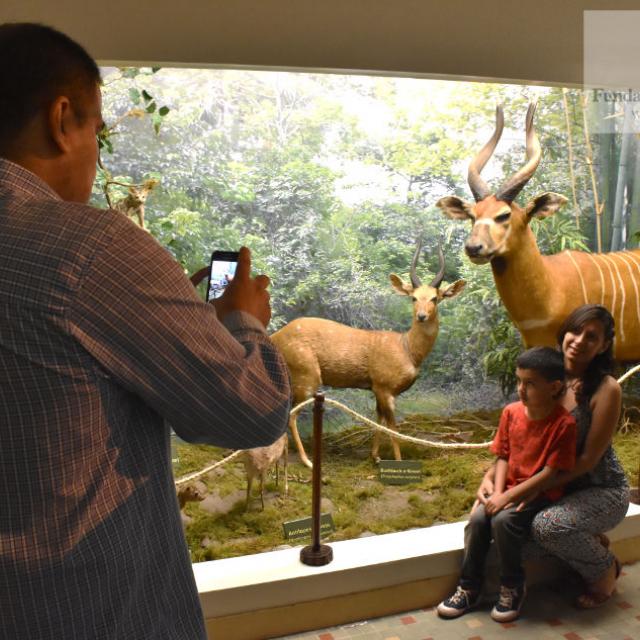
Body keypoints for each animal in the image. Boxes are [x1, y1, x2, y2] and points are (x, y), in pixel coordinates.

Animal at [270, 242, 464, 468]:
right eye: (413, 297)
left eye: (435, 298)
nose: (422, 316)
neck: (407, 349)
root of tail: (275, 337)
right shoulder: (384, 386)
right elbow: (393, 428)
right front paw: (398, 462)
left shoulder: (377, 388)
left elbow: (379, 420)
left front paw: (376, 456)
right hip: (307, 374)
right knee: (292, 414)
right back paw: (307, 461)